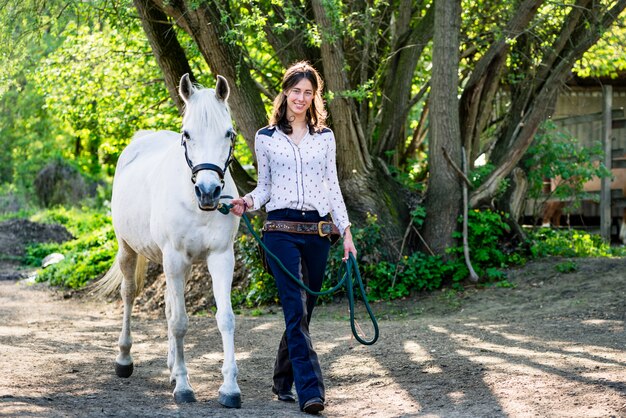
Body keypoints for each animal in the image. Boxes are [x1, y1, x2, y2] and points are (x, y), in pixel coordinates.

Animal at [96, 73, 240, 406]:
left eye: (229, 133)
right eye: (187, 134)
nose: (209, 191)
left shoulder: (221, 257)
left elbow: (224, 318)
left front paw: (229, 388)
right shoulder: (174, 257)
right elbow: (179, 322)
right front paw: (185, 387)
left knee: (169, 306)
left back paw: (173, 367)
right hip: (129, 250)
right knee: (129, 295)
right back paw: (124, 359)